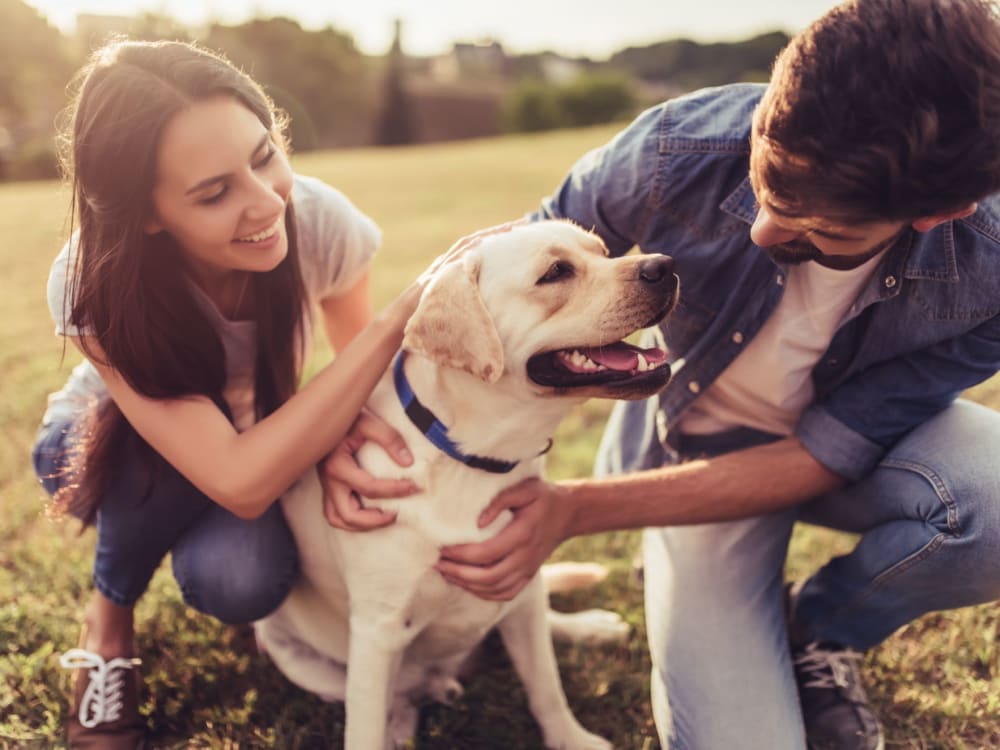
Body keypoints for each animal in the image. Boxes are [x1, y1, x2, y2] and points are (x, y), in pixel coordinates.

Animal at [256, 220, 680, 748]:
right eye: (556, 272)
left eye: (603, 252)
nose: (665, 265)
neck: (473, 460)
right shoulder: (377, 629)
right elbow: (365, 727)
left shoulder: (519, 573)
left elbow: (546, 686)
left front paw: (571, 738)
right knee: (393, 700)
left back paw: (589, 627)